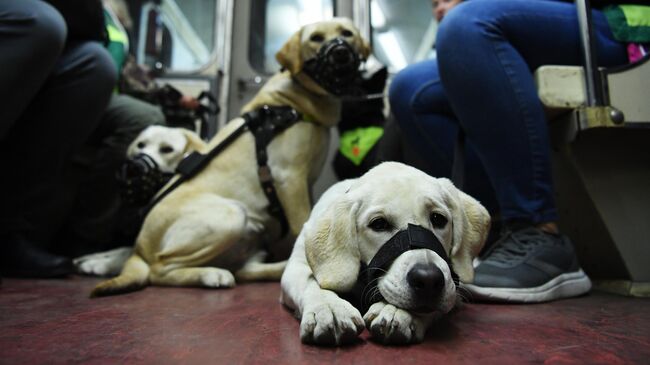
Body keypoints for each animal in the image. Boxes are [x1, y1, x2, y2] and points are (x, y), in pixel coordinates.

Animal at [90, 17, 370, 296]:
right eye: (316, 38)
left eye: (347, 33)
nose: (340, 51)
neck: (291, 103)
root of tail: (138, 244)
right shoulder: (289, 179)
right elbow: (302, 222)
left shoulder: (305, 185)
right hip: (231, 215)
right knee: (159, 269)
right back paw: (212, 275)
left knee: (244, 270)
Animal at [278, 161, 486, 344]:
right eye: (378, 224)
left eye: (438, 219)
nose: (428, 280)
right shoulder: (296, 267)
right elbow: (311, 283)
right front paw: (329, 309)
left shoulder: (452, 289)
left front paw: (396, 312)